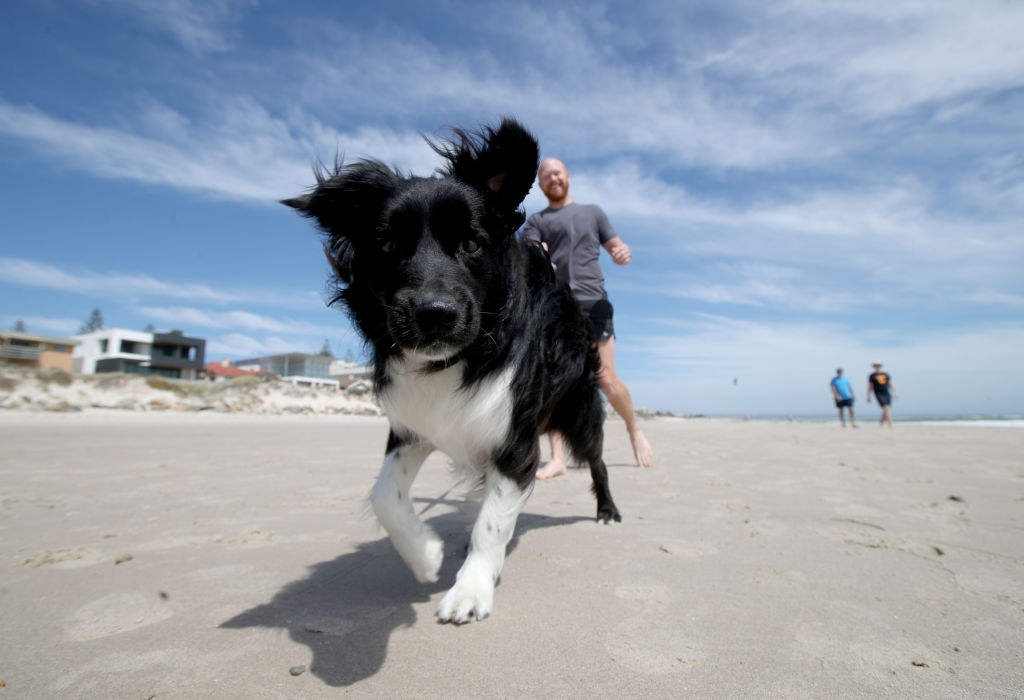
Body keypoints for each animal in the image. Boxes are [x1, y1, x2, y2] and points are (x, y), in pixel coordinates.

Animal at [284, 116, 618, 622]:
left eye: (471, 244)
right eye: (387, 244)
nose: (435, 314)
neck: (456, 359)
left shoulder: (514, 439)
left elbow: (492, 523)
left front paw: (471, 589)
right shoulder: (413, 427)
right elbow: (385, 496)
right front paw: (426, 555)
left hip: (578, 411)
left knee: (597, 458)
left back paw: (606, 511)